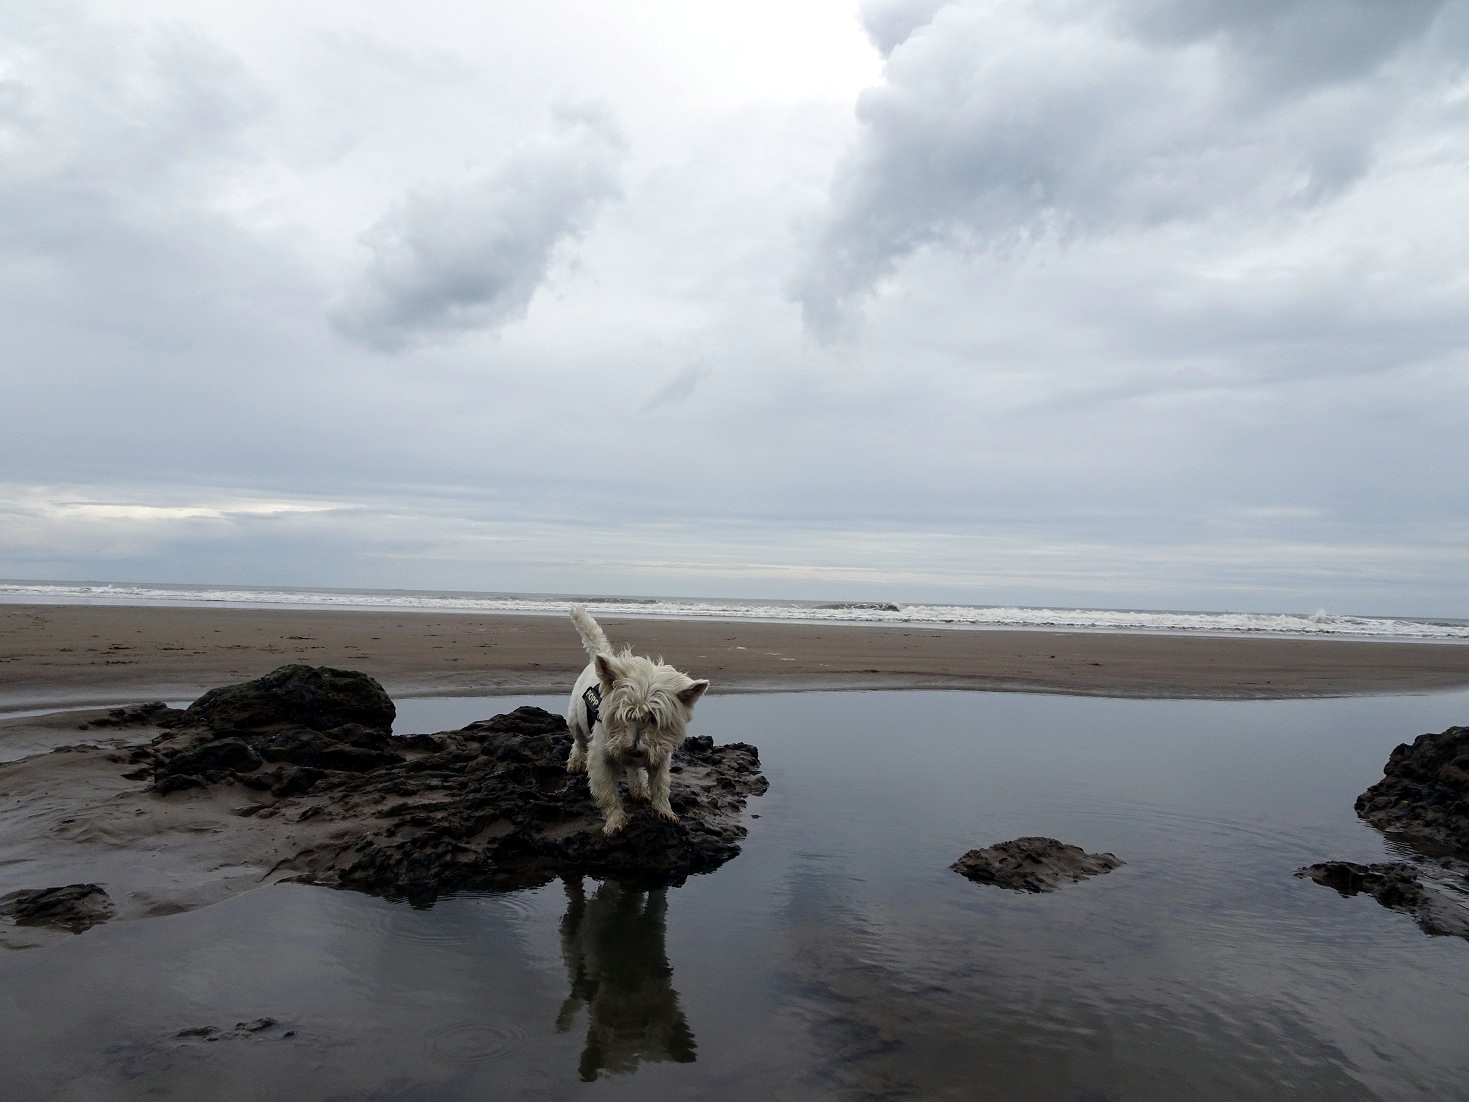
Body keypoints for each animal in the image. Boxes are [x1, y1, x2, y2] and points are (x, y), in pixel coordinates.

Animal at [564, 605, 708, 834]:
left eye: (655, 720)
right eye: (625, 716)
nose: (635, 750)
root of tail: (599, 658)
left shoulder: (659, 756)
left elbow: (660, 787)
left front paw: (665, 811)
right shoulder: (601, 759)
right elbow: (608, 793)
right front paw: (615, 821)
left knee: (634, 769)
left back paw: (639, 788)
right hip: (575, 721)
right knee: (578, 741)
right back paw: (575, 761)